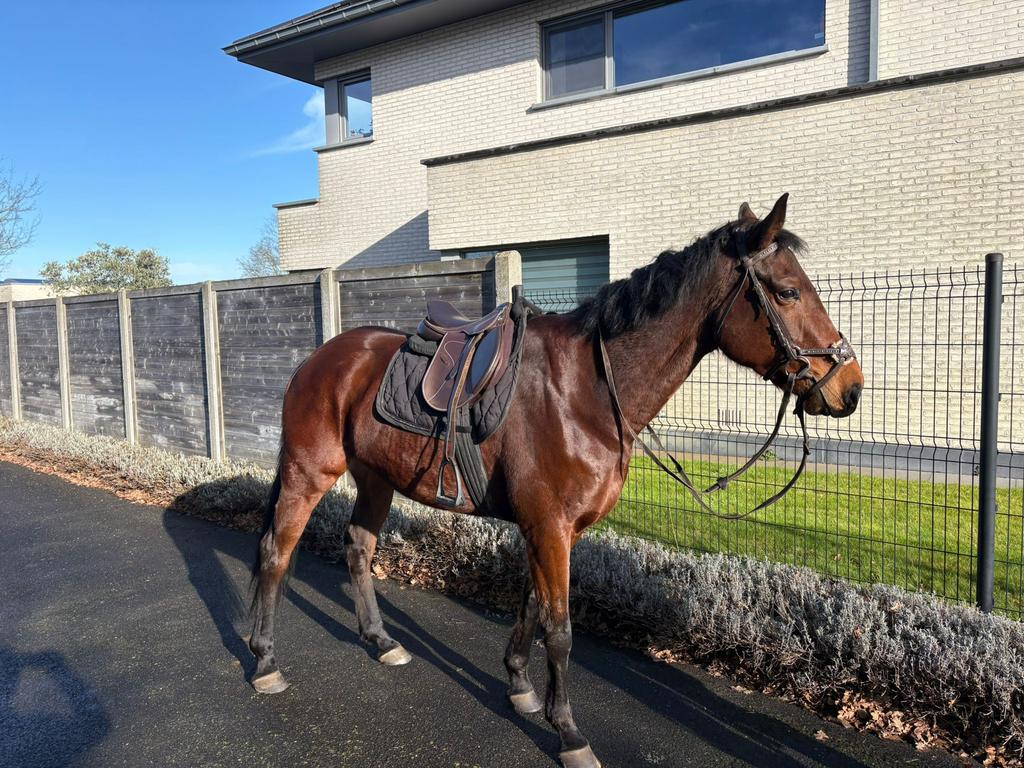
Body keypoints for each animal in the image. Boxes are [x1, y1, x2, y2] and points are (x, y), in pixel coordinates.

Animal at [248, 194, 865, 768]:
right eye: (787, 292)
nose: (850, 387)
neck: (584, 392)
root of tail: (318, 360)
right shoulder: (549, 527)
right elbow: (562, 629)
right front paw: (568, 732)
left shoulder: (552, 529)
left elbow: (531, 607)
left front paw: (519, 686)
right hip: (308, 472)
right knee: (276, 552)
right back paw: (265, 661)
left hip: (376, 479)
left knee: (358, 547)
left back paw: (380, 642)